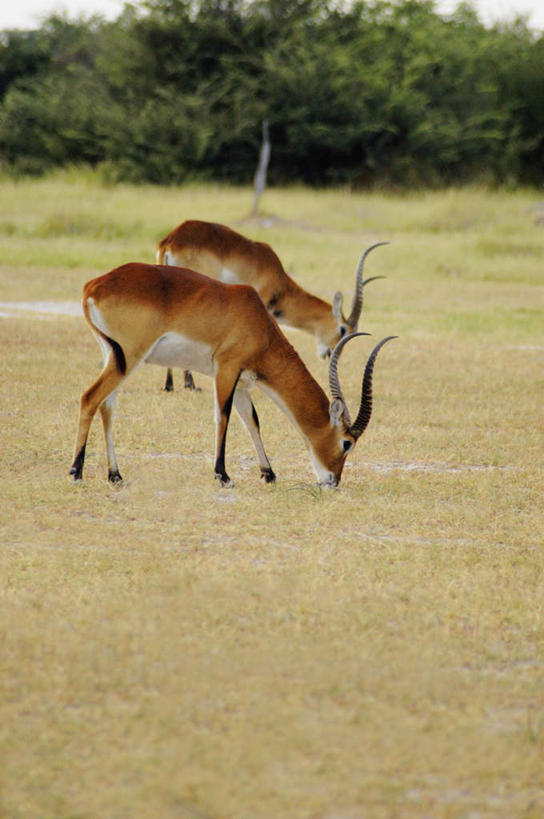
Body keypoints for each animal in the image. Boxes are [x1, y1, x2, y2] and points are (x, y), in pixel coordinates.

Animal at [70, 264, 398, 486]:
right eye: (347, 443)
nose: (333, 481)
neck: (257, 323)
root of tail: (93, 286)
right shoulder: (226, 370)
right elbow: (223, 416)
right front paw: (223, 475)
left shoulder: (242, 383)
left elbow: (252, 421)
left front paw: (269, 473)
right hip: (128, 358)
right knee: (89, 397)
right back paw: (76, 471)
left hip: (115, 359)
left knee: (107, 405)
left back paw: (114, 474)